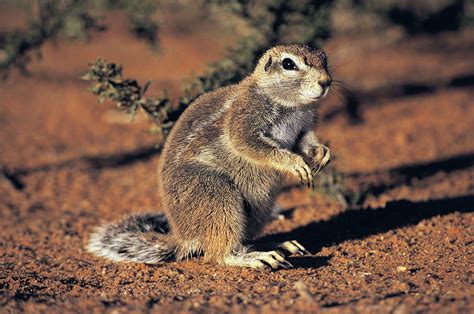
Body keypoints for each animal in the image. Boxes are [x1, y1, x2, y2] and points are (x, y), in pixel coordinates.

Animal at [89, 44, 334, 270]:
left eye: (324, 58)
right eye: (289, 64)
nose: (326, 81)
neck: (291, 104)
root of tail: (183, 237)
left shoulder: (302, 127)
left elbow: (305, 141)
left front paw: (321, 152)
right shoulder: (244, 120)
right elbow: (252, 144)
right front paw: (295, 163)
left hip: (259, 209)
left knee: (242, 242)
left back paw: (279, 245)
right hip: (217, 196)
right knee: (219, 254)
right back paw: (258, 258)